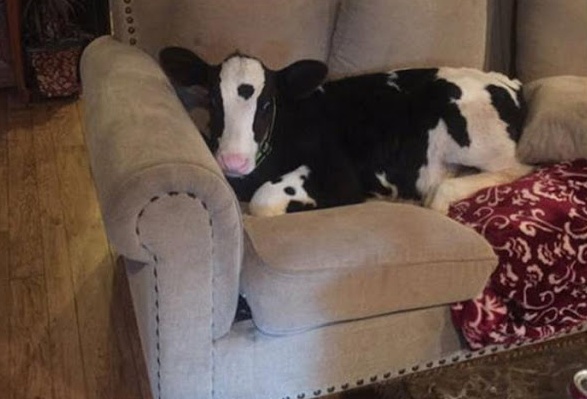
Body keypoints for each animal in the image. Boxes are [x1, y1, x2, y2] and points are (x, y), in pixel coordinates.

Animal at [158, 48, 532, 217]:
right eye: (212, 100)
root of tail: (507, 81)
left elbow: (264, 201)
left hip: (473, 136)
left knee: (516, 168)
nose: (233, 161)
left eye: (266, 103)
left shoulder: (340, 175)